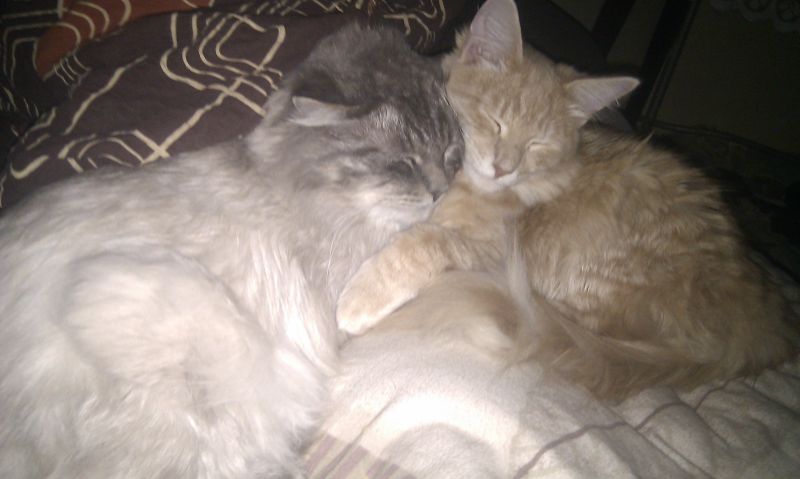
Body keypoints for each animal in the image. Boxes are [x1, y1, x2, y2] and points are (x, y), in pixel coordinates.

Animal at [336, 0, 798, 400]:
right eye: (495, 121)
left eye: (537, 143)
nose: (503, 168)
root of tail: (761, 331)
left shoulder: (489, 248)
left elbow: (423, 241)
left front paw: (362, 297)